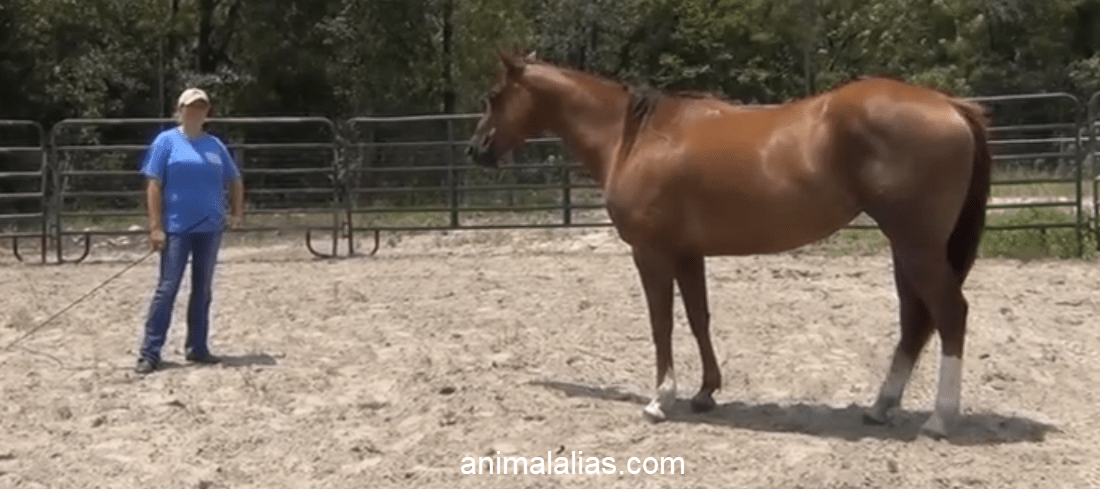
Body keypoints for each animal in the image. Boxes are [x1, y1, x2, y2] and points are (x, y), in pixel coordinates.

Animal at [468, 52, 994, 438]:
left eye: (493, 96)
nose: (477, 151)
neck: (633, 137)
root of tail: (951, 106)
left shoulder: (651, 253)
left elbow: (662, 323)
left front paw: (660, 399)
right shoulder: (687, 253)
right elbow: (698, 318)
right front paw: (705, 393)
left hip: (917, 245)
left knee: (949, 314)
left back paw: (940, 419)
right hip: (907, 247)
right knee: (914, 319)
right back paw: (881, 407)